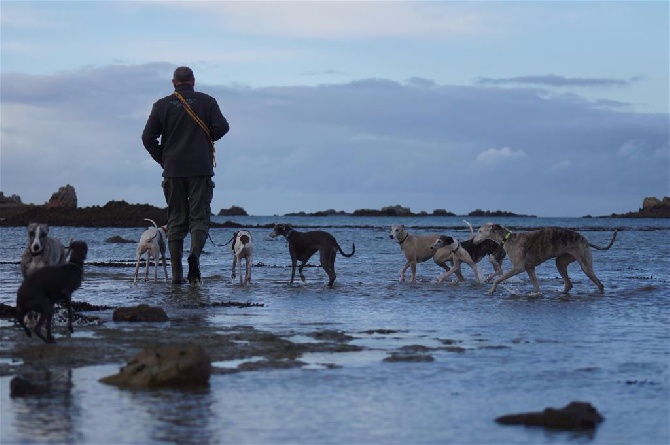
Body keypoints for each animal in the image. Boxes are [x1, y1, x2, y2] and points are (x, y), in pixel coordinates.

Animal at [472, 222, 620, 294]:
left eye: (480, 231)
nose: (473, 241)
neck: (508, 238)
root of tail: (586, 240)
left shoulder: (518, 268)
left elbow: (498, 279)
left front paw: (491, 291)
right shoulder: (530, 268)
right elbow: (537, 287)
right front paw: (536, 294)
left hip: (585, 265)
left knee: (600, 284)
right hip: (561, 262)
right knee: (569, 284)